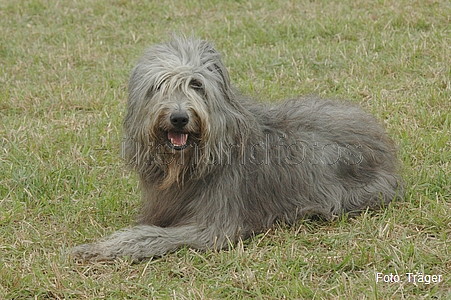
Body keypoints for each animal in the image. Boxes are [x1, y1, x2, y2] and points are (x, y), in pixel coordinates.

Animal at [72, 34, 404, 260]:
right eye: (159, 86)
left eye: (196, 85)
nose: (179, 117)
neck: (192, 163)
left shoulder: (213, 226)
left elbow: (149, 236)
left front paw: (98, 247)